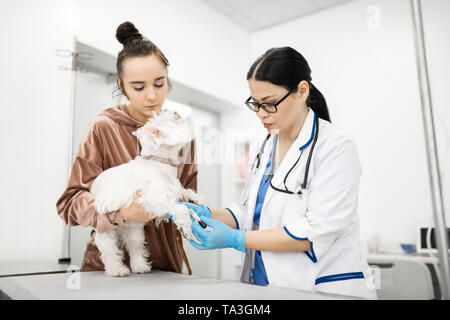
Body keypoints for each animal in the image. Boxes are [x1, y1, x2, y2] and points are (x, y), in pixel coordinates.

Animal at [90, 109, 201, 276]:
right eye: (174, 120)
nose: (178, 112)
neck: (160, 163)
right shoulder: (156, 199)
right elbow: (181, 209)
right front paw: (187, 229)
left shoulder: (173, 189)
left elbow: (184, 192)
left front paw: (195, 198)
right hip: (106, 225)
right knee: (109, 248)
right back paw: (117, 270)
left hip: (134, 229)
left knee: (135, 246)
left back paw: (140, 267)